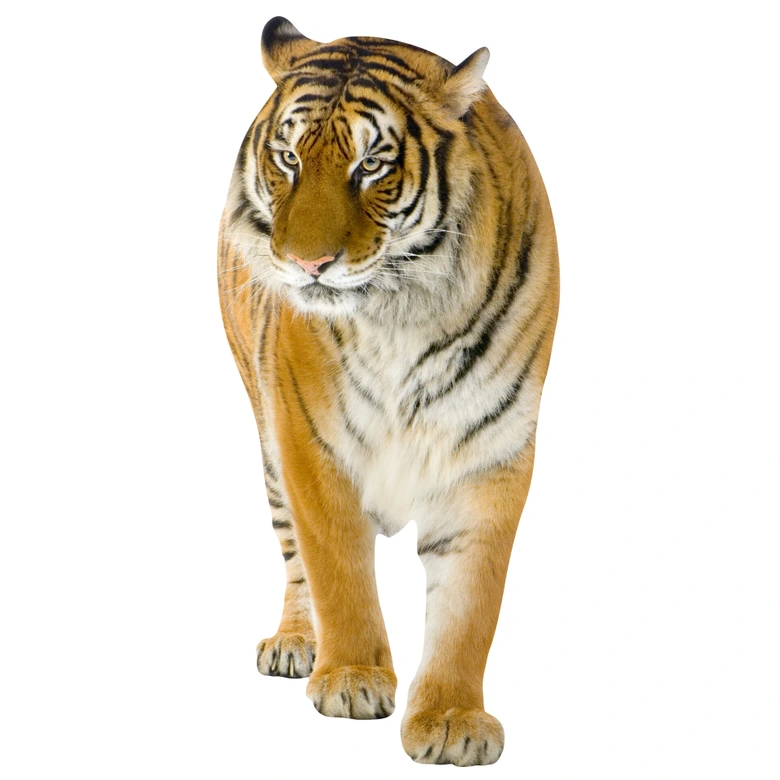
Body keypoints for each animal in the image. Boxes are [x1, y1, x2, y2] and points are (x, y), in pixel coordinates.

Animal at [217, 16, 559, 767]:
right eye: (288, 158)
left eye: (371, 166)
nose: (307, 263)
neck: (402, 310)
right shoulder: (309, 439)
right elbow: (337, 568)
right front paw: (350, 679)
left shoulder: (490, 449)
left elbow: (470, 606)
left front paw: (454, 719)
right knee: (294, 555)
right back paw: (295, 644)